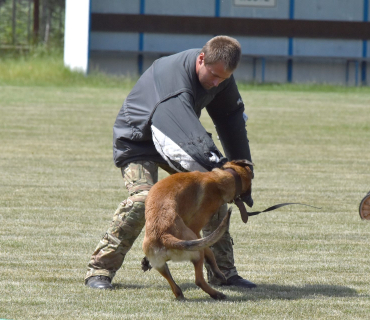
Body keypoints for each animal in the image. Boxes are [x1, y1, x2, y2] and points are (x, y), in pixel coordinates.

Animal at [142, 160, 254, 300]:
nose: (252, 202)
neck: (219, 178)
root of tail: (162, 234)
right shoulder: (195, 229)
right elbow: (210, 252)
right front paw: (218, 272)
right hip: (196, 250)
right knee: (199, 280)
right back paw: (217, 294)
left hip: (162, 265)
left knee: (174, 285)